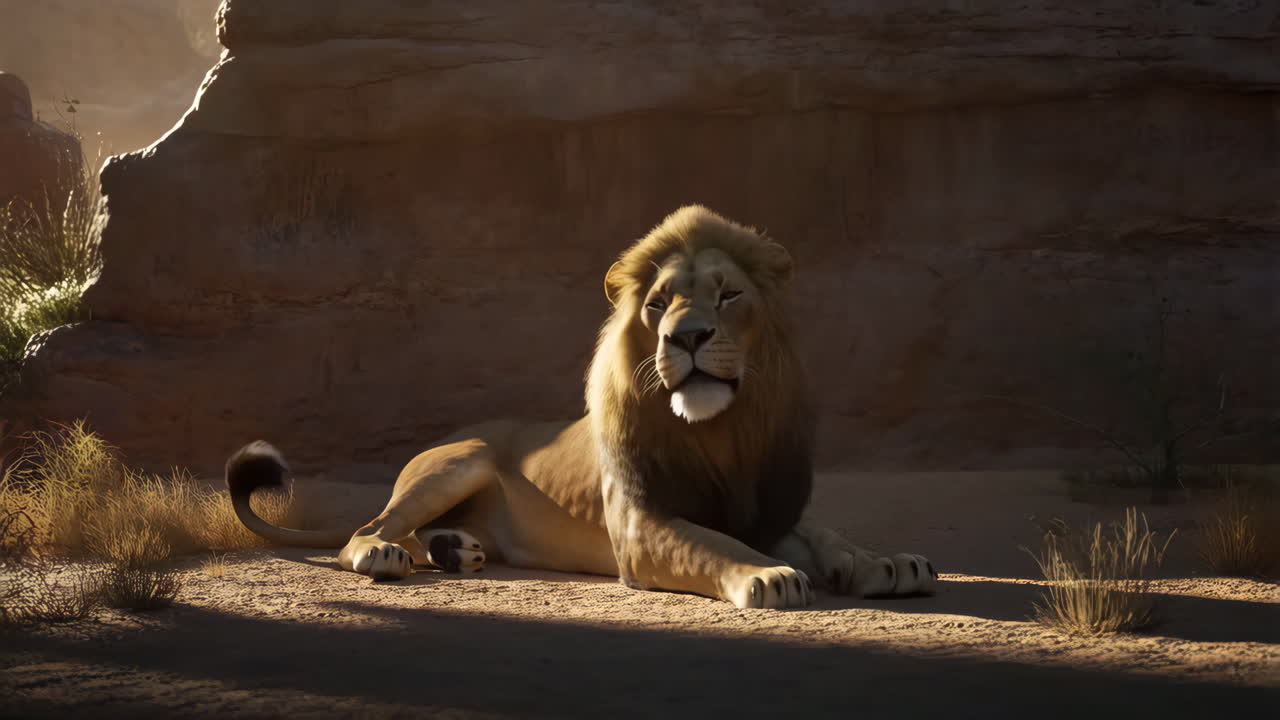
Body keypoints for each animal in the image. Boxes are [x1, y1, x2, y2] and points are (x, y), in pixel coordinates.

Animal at [227, 205, 937, 608]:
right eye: (657, 304)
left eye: (729, 294)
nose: (687, 335)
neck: (722, 433)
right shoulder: (642, 525)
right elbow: (713, 545)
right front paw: (770, 576)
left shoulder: (766, 506)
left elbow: (826, 533)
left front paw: (887, 562)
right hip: (461, 462)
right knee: (368, 528)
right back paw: (385, 555)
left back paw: (455, 549)